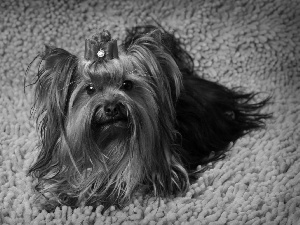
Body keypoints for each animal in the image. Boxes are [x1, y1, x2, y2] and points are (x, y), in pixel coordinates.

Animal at [27, 25, 270, 212]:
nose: (112, 107)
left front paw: (100, 195)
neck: (111, 141)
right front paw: (56, 198)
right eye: (90, 89)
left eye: (127, 85)